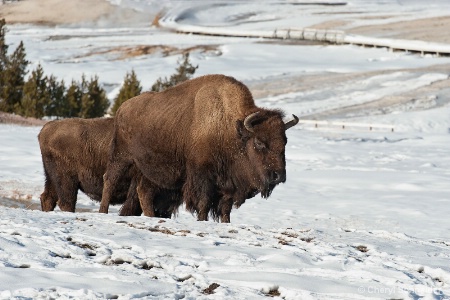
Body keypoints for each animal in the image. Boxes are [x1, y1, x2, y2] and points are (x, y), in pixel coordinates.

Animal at [100, 74, 298, 221]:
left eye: (285, 142)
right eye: (259, 142)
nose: (278, 175)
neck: (231, 128)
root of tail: (122, 108)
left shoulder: (228, 185)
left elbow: (225, 208)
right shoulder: (202, 176)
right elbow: (204, 203)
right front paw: (202, 220)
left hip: (148, 170)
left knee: (143, 191)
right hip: (121, 157)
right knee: (109, 180)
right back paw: (102, 211)